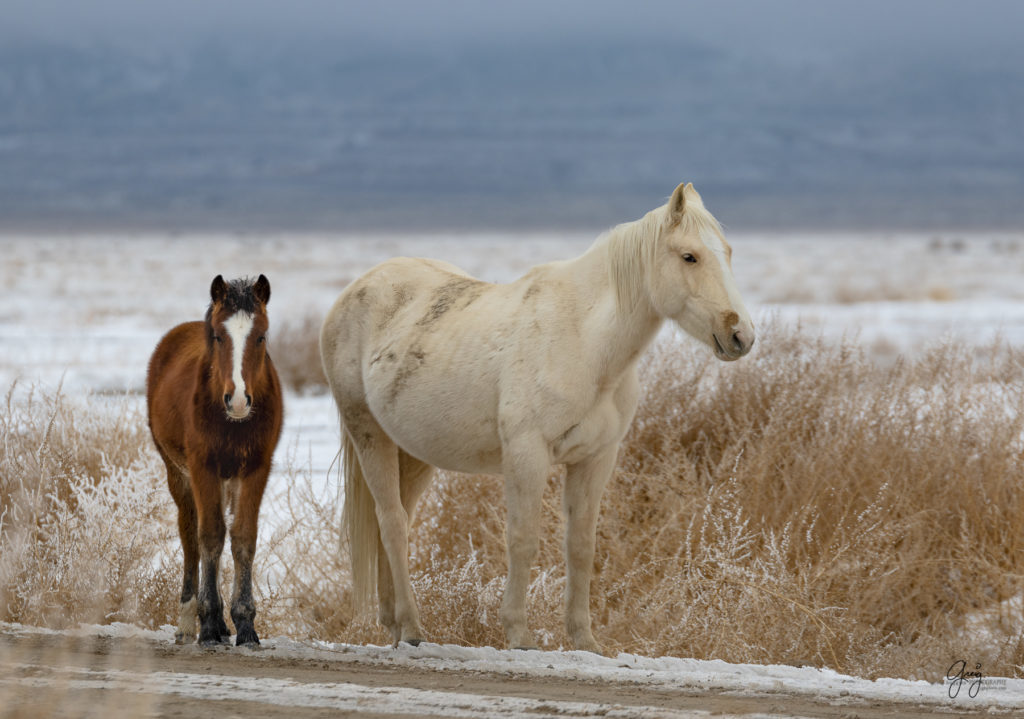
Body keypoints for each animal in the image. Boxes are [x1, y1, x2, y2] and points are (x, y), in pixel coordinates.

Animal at [323, 184, 757, 655]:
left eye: (728, 252)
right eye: (689, 256)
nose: (741, 336)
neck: (584, 341)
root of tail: (357, 289)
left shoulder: (594, 459)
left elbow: (581, 546)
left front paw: (584, 639)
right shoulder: (527, 456)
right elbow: (523, 540)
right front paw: (519, 634)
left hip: (414, 454)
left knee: (394, 521)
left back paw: (396, 626)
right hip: (370, 435)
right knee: (393, 523)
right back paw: (412, 627)